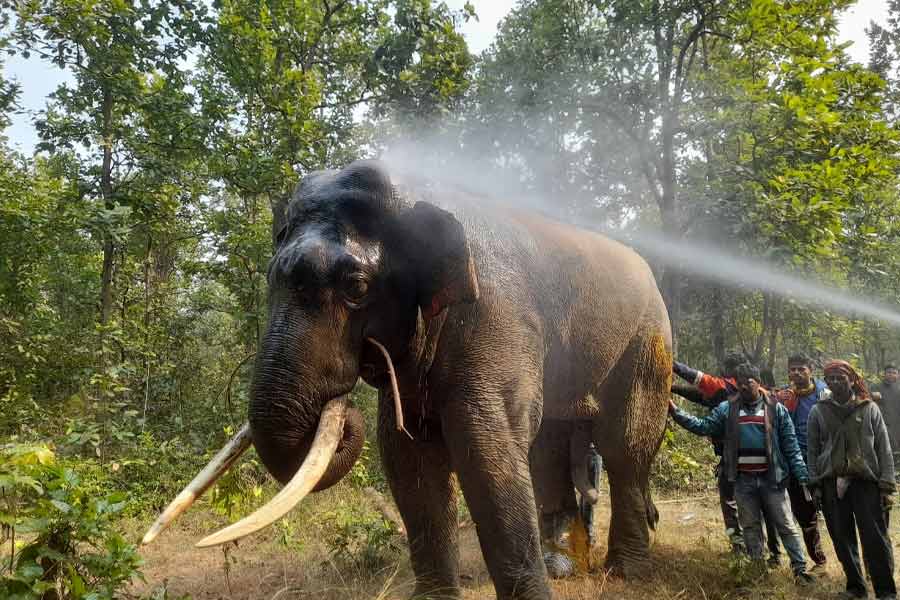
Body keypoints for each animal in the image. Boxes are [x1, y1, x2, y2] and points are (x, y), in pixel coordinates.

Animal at [146, 159, 668, 600]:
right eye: (271, 277)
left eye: (356, 288)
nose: (340, 410)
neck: (421, 193)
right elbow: (407, 455)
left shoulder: (497, 320)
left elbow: (486, 451)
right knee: (551, 448)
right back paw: (562, 565)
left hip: (648, 341)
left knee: (623, 446)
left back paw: (626, 572)